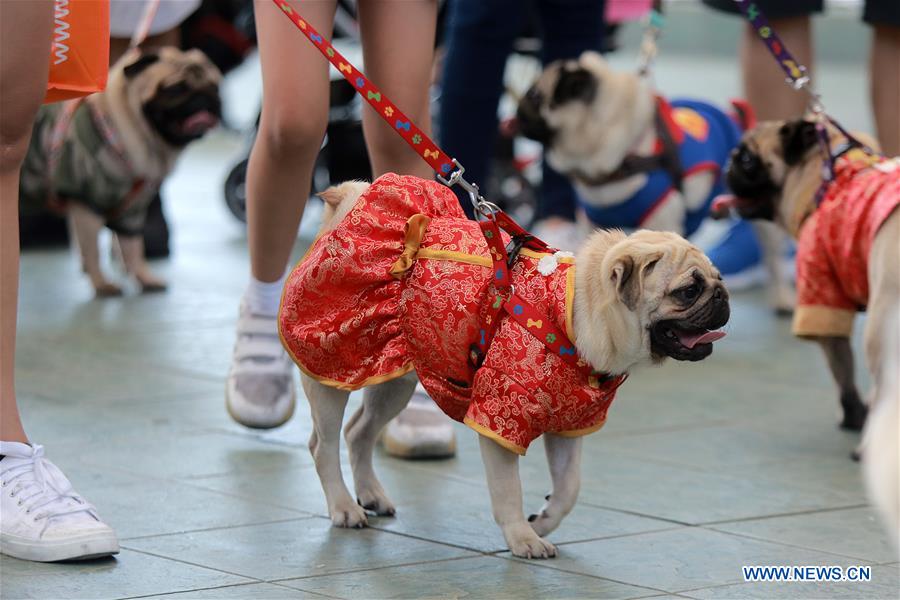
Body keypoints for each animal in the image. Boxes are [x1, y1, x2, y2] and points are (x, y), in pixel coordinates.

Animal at [21, 46, 221, 296]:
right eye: (175, 88)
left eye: (214, 86)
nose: (205, 98)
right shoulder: (86, 205)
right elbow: (92, 250)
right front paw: (101, 284)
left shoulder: (132, 211)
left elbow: (133, 247)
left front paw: (144, 277)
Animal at [282, 172, 732, 556]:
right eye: (688, 291)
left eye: (717, 279)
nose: (722, 296)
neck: (576, 311)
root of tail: (348, 207)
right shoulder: (500, 419)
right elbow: (507, 489)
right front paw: (523, 538)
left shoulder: (568, 425)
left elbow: (570, 487)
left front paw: (544, 520)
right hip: (332, 365)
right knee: (323, 444)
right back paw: (344, 507)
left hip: (394, 379)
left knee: (359, 432)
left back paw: (371, 495)